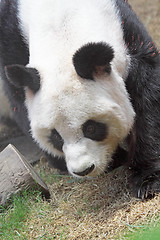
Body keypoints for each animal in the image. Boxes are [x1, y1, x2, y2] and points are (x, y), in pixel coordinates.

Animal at [0, 0, 159, 199]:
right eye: (56, 136)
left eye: (91, 128)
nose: (83, 170)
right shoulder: (11, 39)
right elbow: (20, 101)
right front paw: (116, 158)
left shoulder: (125, 28)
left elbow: (147, 93)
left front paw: (146, 180)